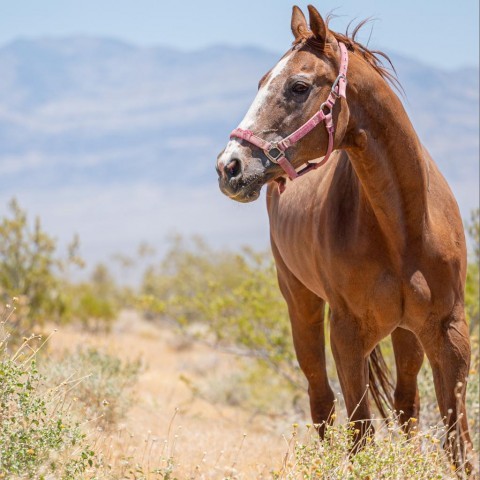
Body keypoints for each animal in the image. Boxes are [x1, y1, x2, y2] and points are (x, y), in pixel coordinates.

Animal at [216, 3, 474, 472]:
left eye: (298, 86)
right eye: (262, 82)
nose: (230, 166)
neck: (403, 229)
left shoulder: (450, 334)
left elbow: (457, 444)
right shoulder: (348, 335)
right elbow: (360, 435)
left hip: (407, 335)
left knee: (406, 405)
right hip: (301, 306)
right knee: (321, 401)